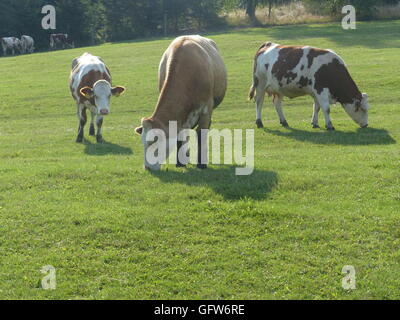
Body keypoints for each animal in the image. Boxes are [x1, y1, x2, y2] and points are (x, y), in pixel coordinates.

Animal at [135, 35, 227, 171]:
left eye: (155, 142)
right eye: (143, 142)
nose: (147, 167)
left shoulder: (206, 109)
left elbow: (201, 134)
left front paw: (201, 164)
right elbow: (180, 136)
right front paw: (180, 162)